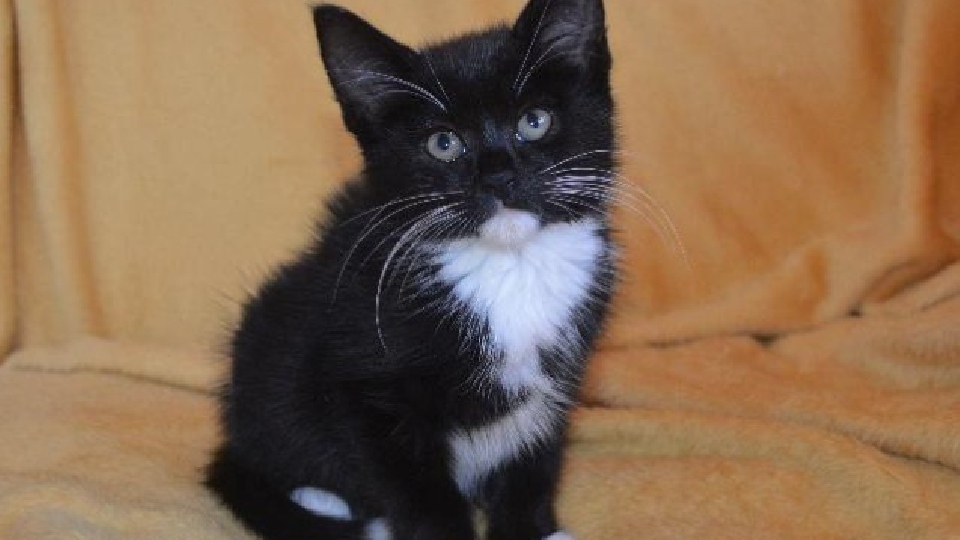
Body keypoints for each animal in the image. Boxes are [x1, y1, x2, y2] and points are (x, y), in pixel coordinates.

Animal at [206, 1, 620, 540]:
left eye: (534, 121)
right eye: (443, 143)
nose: (499, 176)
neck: (509, 265)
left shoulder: (558, 377)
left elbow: (532, 461)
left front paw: (533, 529)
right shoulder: (365, 374)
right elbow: (417, 490)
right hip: (268, 362)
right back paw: (323, 500)